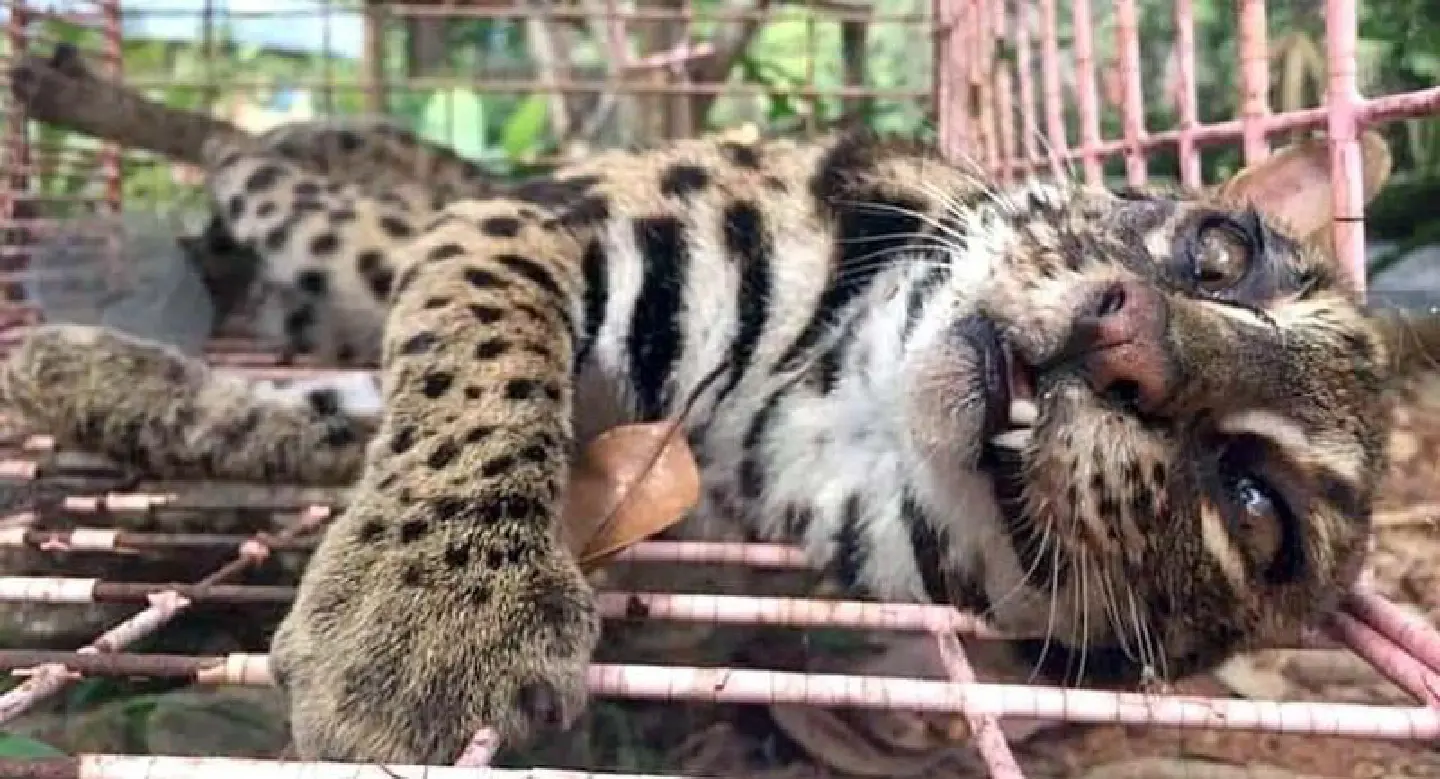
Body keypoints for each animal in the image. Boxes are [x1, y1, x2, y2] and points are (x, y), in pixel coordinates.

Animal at [3, 116, 1433, 767]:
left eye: (1257, 507)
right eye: (1221, 252)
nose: (1127, 336)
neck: (844, 416)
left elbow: (345, 416)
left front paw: (412, 617)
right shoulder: (560, 219)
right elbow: (465, 359)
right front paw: (424, 609)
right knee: (298, 190)